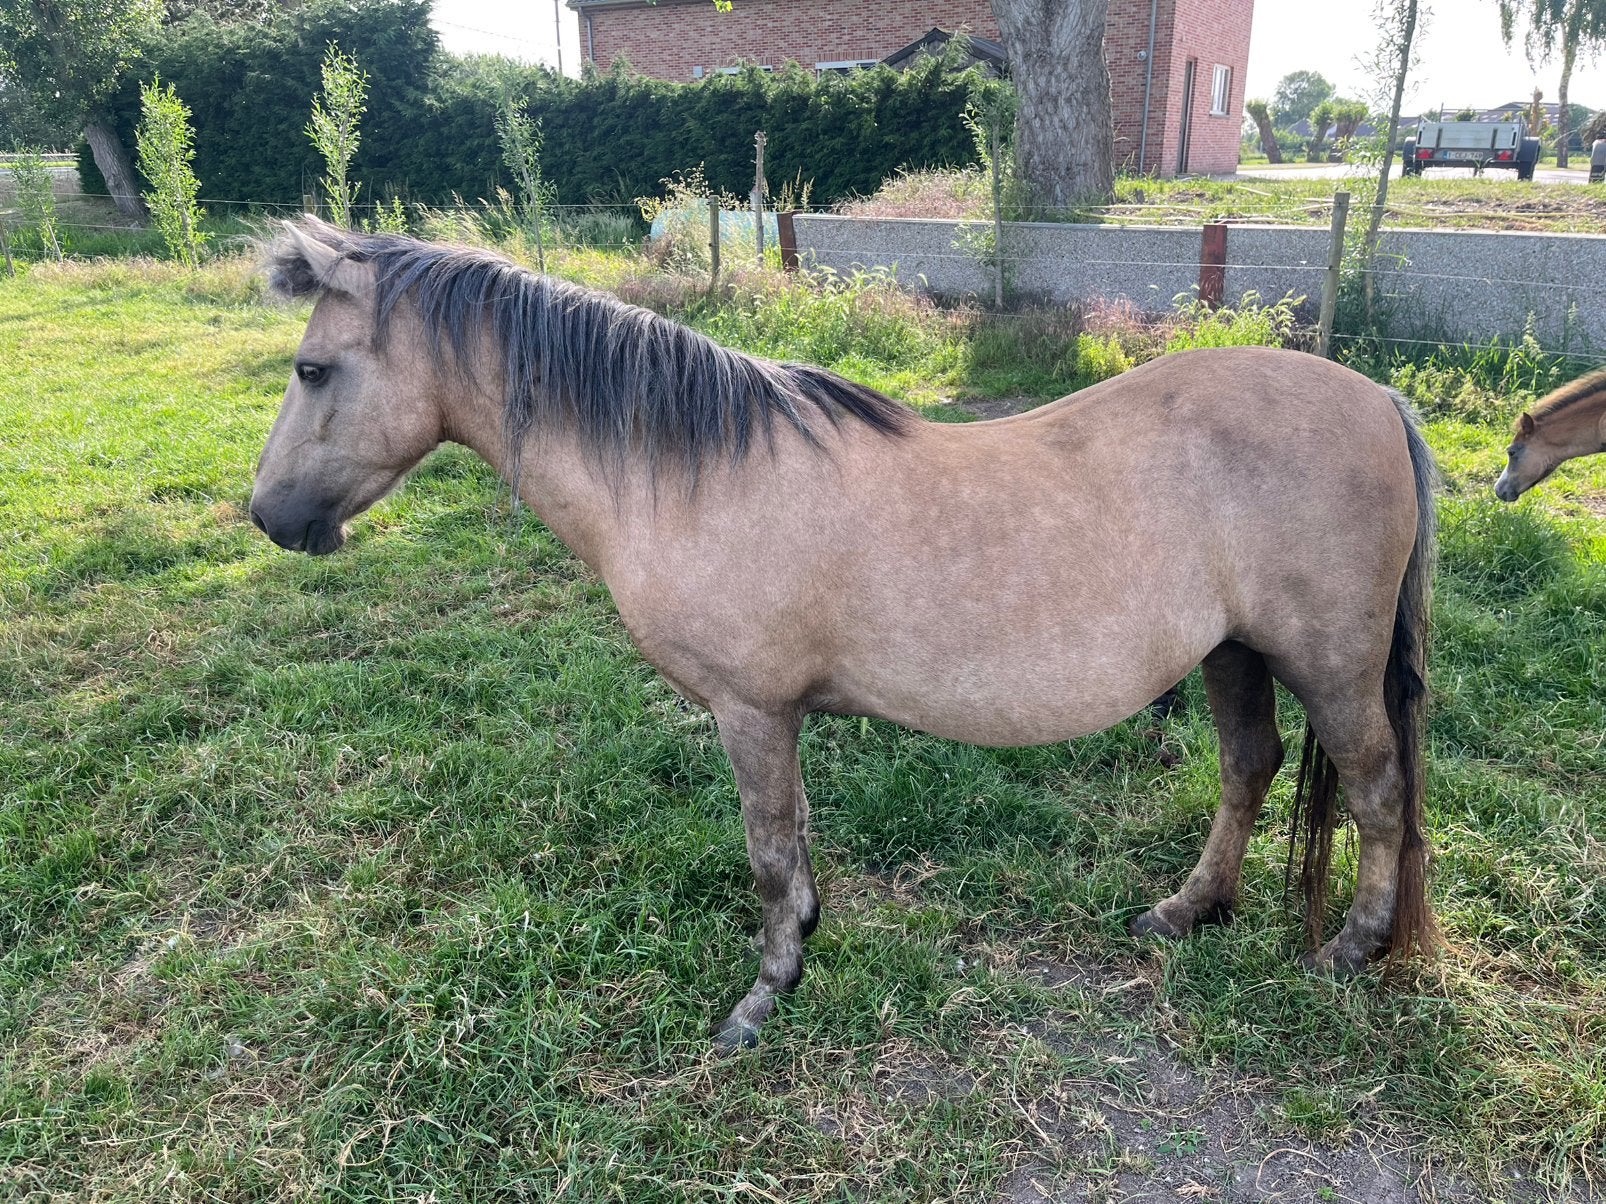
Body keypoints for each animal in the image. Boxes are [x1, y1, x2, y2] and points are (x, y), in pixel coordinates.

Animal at [251, 218, 1437, 1051]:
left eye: (313, 370)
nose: (269, 518)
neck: (693, 472)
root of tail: (1379, 399)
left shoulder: (749, 711)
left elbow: (771, 849)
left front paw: (764, 994)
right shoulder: (776, 716)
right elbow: (800, 838)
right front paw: (804, 946)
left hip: (1327, 664)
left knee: (1378, 793)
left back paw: (1348, 950)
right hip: (1234, 654)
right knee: (1251, 768)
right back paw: (1189, 911)